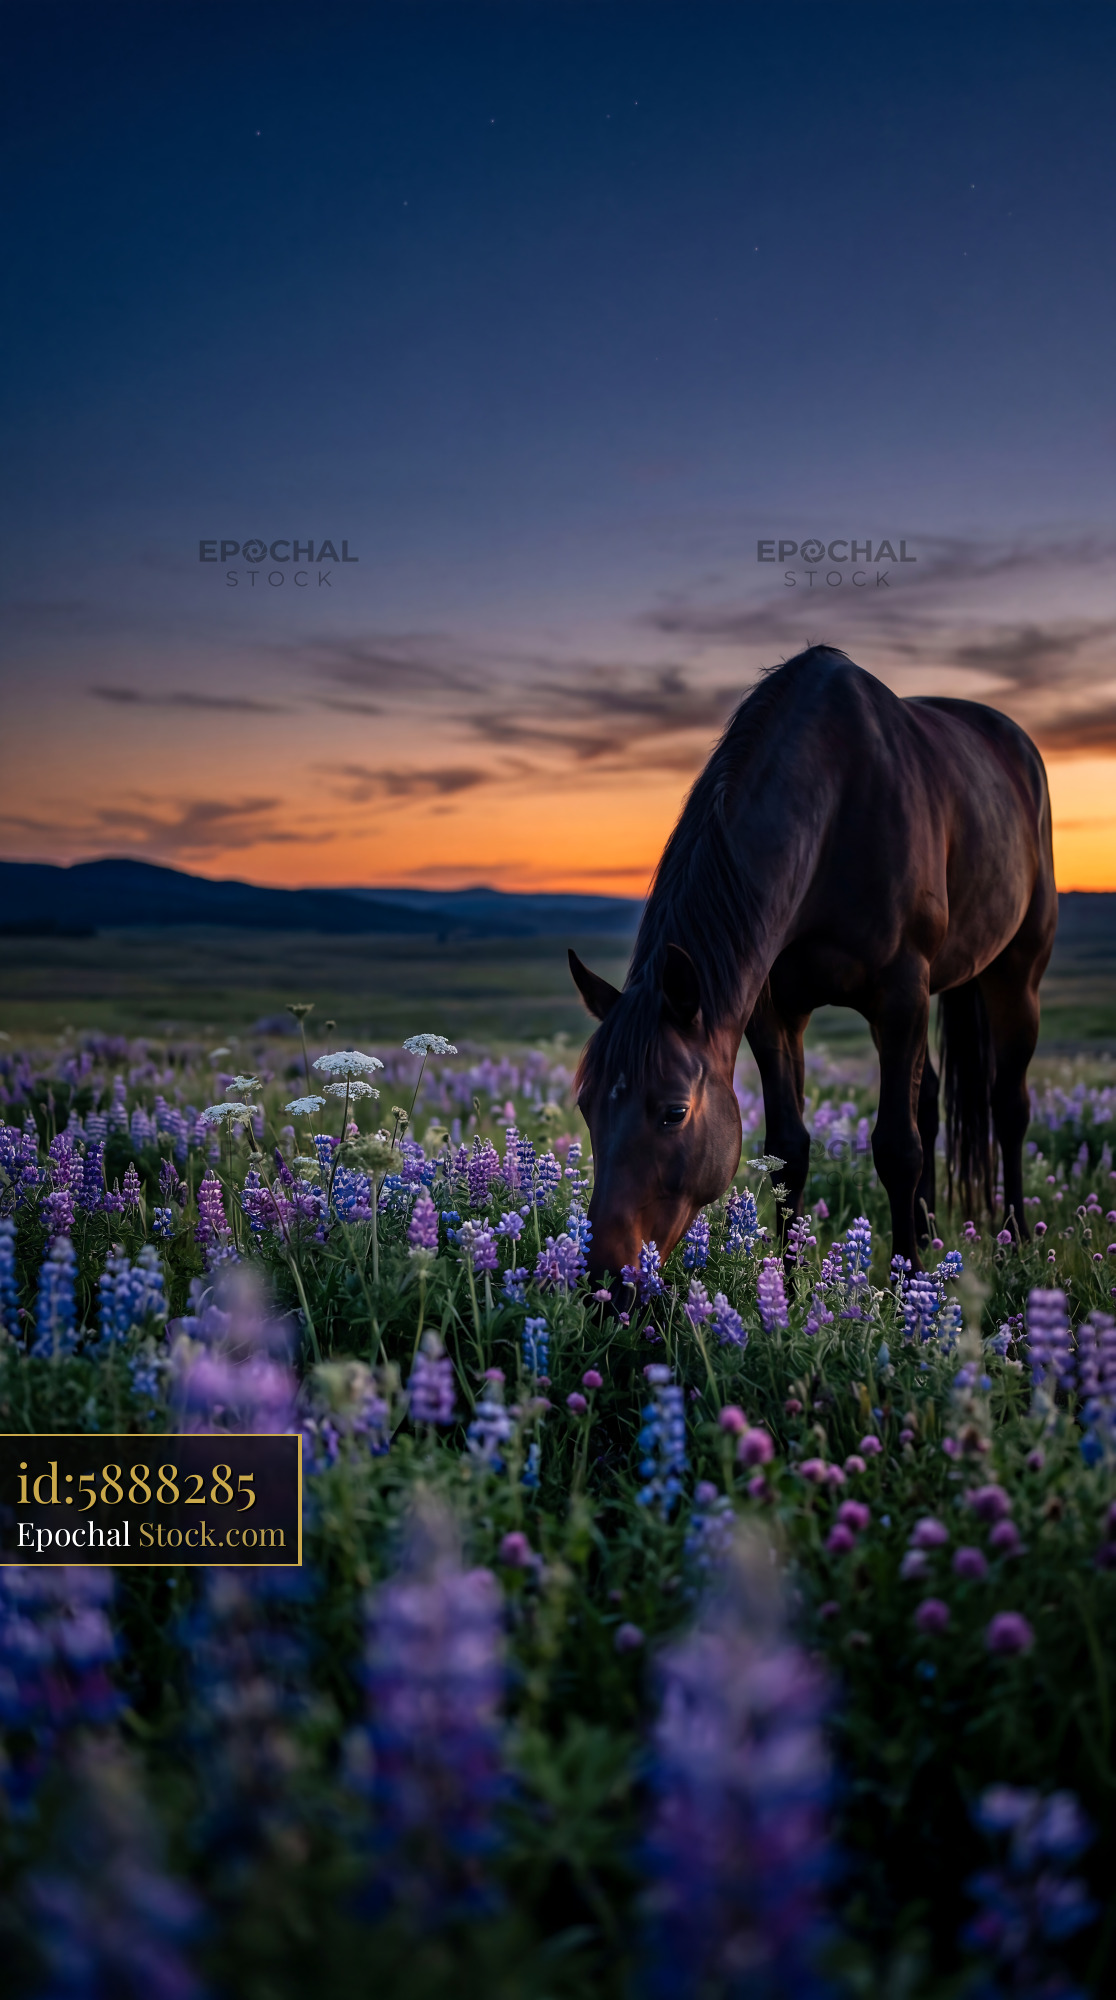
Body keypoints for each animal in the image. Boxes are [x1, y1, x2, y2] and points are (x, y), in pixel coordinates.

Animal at [569, 644, 1057, 1284]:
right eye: (585, 1104)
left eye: (674, 1112)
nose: (602, 1277)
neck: (834, 810)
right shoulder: (774, 1010)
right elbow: (789, 1149)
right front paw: (790, 1283)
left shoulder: (900, 990)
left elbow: (896, 1147)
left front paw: (903, 1287)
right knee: (928, 1102)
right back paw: (929, 1234)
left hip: (1015, 973)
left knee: (1007, 1106)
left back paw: (1014, 1238)